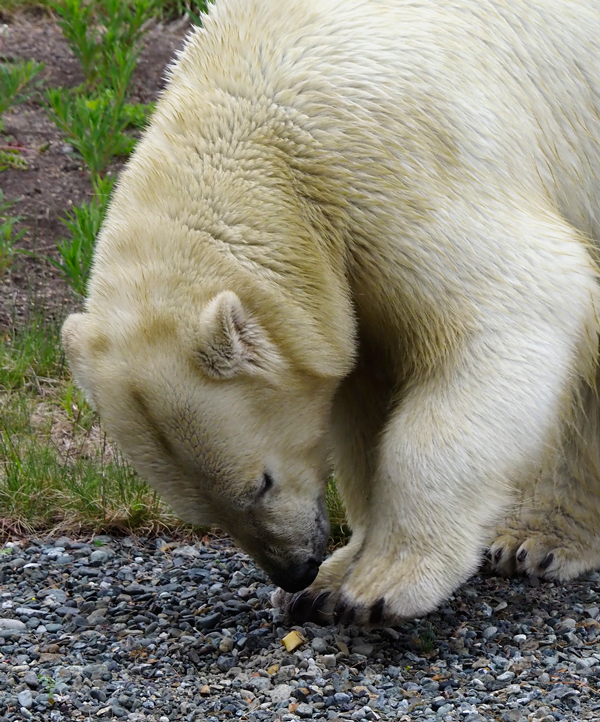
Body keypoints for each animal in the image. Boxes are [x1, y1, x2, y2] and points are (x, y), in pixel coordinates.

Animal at [62, 0, 600, 624]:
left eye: (260, 483)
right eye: (204, 512)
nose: (293, 570)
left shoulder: (391, 164)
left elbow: (514, 304)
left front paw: (385, 583)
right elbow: (363, 391)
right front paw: (331, 581)